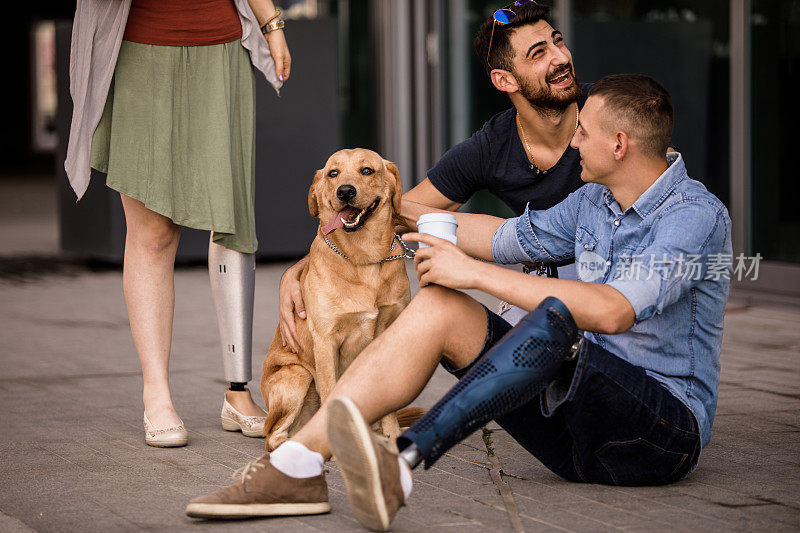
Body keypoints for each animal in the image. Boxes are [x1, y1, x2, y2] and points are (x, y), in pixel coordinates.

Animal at [262, 147, 412, 448]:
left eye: (366, 170)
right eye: (333, 173)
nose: (345, 191)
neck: (365, 259)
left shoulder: (388, 334)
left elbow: (389, 406)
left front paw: (392, 436)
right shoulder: (325, 339)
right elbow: (330, 390)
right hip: (297, 375)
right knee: (273, 435)